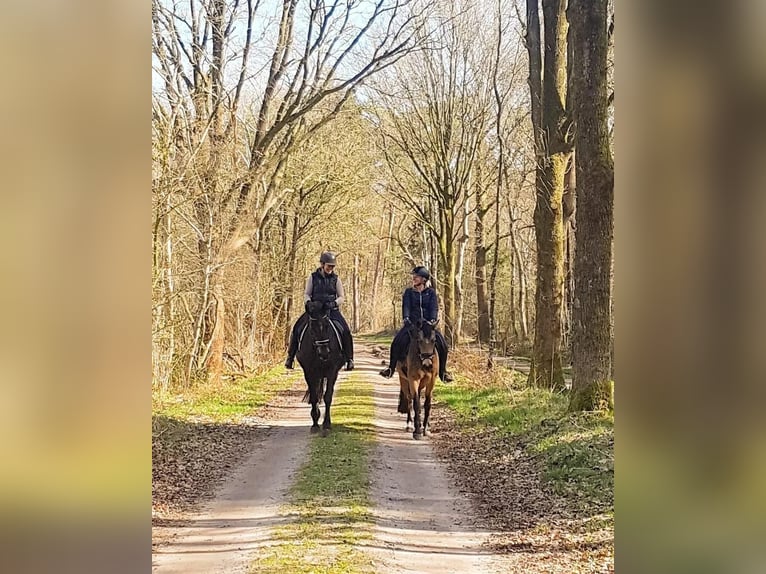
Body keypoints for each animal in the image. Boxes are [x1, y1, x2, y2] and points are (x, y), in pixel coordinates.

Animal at [296, 302, 344, 436]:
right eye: (312, 328)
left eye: (327, 326)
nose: (324, 353)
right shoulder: (309, 373)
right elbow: (314, 397)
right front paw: (315, 424)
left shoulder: (332, 371)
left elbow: (328, 397)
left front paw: (327, 424)